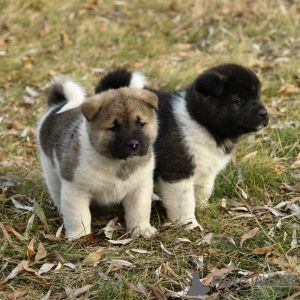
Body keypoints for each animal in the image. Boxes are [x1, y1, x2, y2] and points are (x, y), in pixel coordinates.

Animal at [36, 78, 158, 240]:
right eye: (114, 128)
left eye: (140, 123)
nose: (133, 145)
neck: (118, 163)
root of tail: (57, 106)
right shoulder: (75, 190)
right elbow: (78, 217)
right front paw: (79, 236)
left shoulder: (139, 188)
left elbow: (140, 211)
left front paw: (141, 230)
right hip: (50, 169)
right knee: (56, 191)